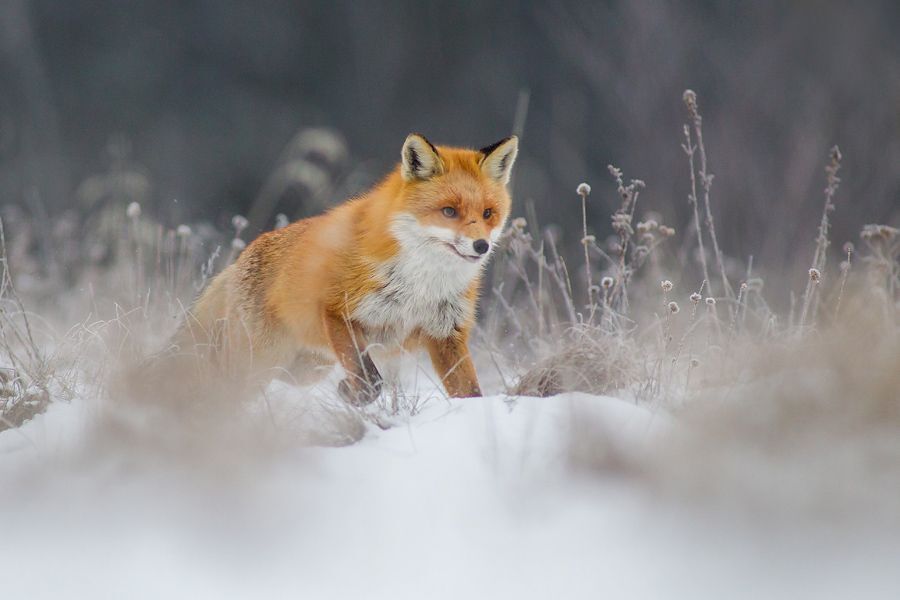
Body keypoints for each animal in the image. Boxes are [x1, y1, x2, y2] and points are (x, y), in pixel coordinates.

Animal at [173, 133, 518, 404]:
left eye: (488, 213)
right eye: (449, 211)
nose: (481, 246)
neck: (420, 285)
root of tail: (241, 258)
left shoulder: (447, 334)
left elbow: (470, 392)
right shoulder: (337, 312)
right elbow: (370, 380)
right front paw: (353, 394)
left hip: (303, 368)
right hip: (258, 361)